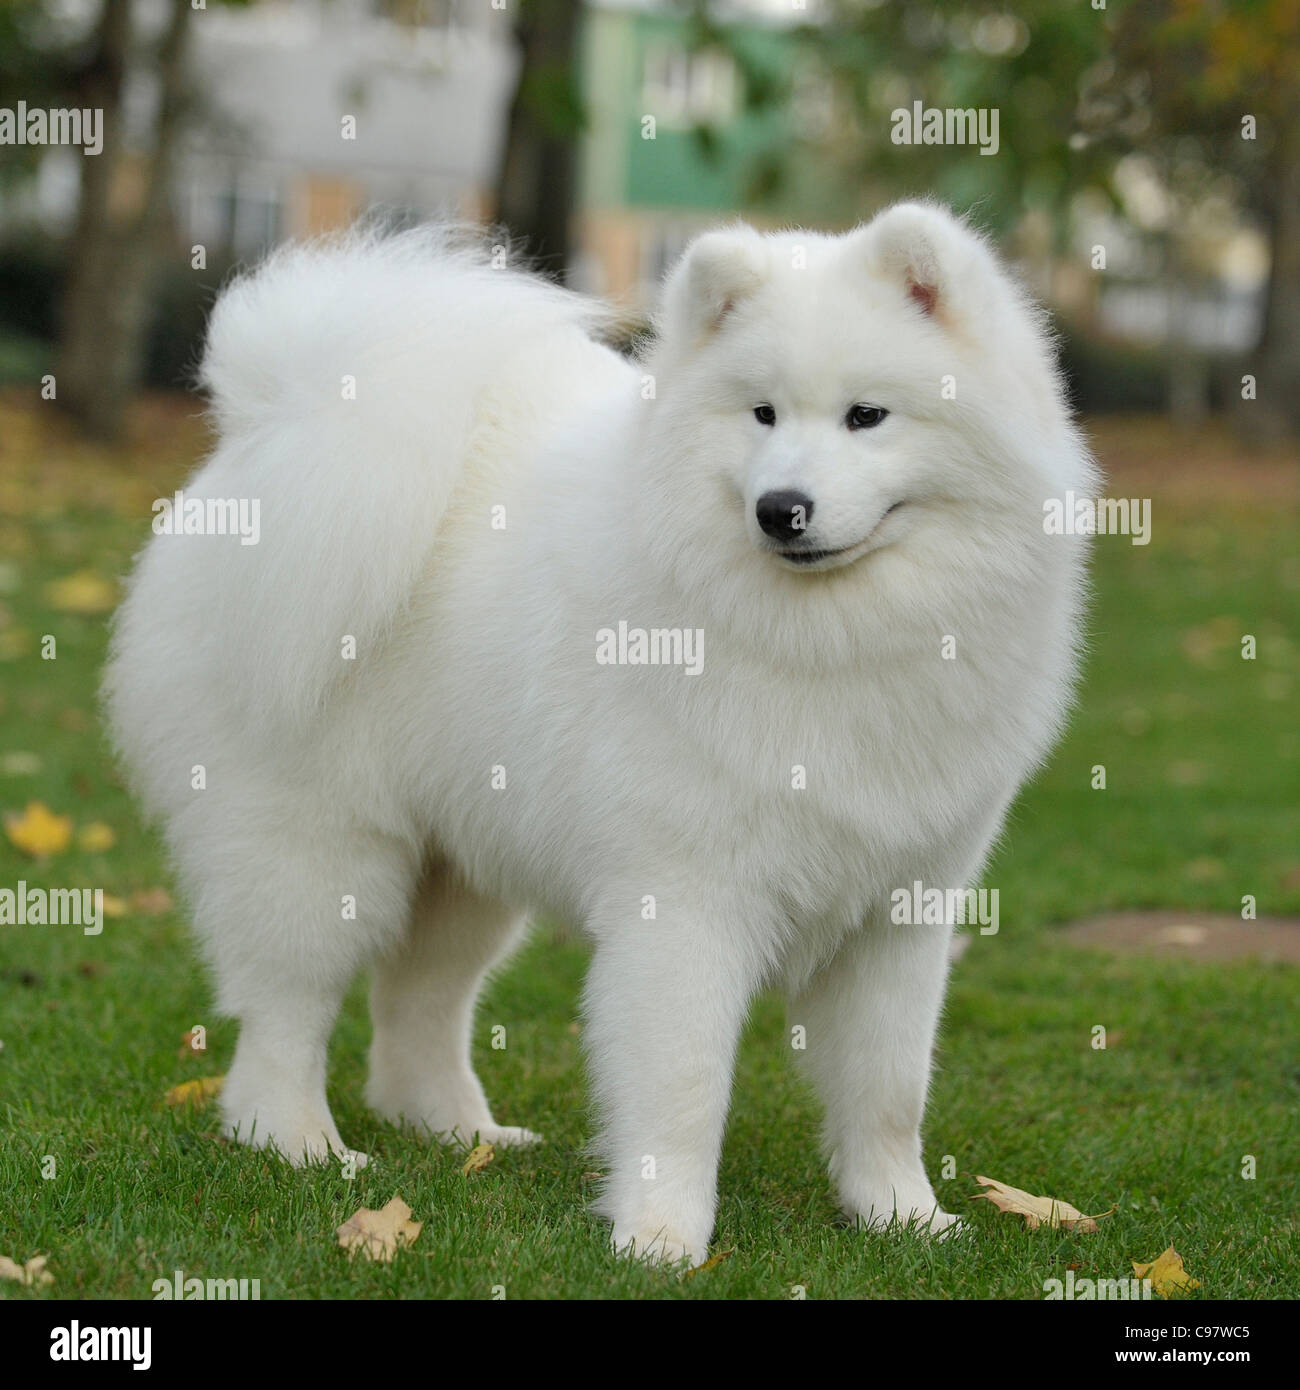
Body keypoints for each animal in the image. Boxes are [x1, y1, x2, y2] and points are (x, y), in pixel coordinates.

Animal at [104, 202, 1095, 1273]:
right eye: (761, 415)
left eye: (867, 416)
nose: (780, 509)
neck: (827, 636)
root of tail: (266, 426)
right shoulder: (688, 902)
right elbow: (683, 1085)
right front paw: (660, 1237)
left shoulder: (899, 909)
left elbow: (889, 1090)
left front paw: (903, 1218)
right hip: (320, 849)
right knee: (285, 1009)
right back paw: (296, 1146)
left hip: (461, 861)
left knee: (421, 1002)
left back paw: (458, 1133)